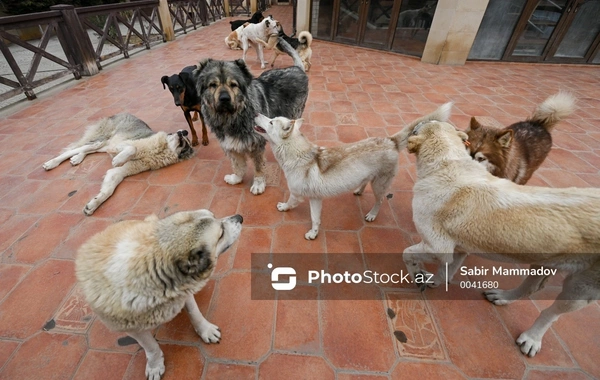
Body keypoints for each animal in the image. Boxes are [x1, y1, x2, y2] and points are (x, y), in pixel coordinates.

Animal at [43, 112, 193, 214]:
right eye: (174, 133)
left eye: (186, 143)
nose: (184, 131)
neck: (159, 150)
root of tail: (120, 113)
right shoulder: (121, 145)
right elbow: (132, 148)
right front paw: (118, 159)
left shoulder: (118, 171)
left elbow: (108, 190)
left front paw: (94, 204)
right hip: (102, 141)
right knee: (73, 149)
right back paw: (52, 163)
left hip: (103, 145)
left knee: (85, 150)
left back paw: (77, 158)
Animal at [77, 211, 244, 380]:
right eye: (221, 233)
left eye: (214, 215)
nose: (240, 217)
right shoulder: (131, 327)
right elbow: (151, 346)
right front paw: (155, 364)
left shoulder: (183, 291)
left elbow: (194, 313)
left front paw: (205, 330)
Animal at [196, 38, 310, 194]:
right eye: (212, 85)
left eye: (234, 84)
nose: (224, 99)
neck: (232, 117)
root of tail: (297, 68)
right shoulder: (231, 145)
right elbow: (238, 165)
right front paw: (236, 178)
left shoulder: (256, 145)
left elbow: (258, 167)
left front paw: (258, 184)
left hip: (294, 113)